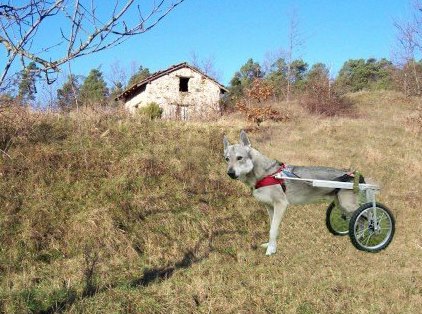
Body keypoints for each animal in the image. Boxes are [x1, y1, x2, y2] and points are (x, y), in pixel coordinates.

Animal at [224, 130, 360, 255]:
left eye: (239, 158)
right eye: (226, 159)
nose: (230, 173)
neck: (265, 174)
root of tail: (351, 174)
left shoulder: (281, 205)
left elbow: (272, 230)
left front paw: (270, 250)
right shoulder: (270, 207)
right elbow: (272, 228)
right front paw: (271, 245)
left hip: (348, 206)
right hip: (340, 205)